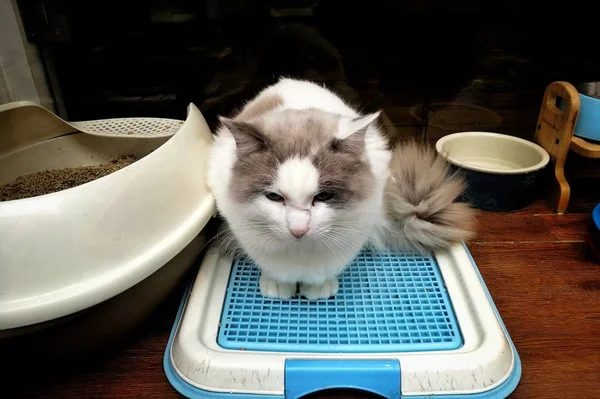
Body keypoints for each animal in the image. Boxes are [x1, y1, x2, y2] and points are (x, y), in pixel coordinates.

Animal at [205, 77, 474, 300]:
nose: (298, 230)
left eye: (324, 196)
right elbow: (272, 268)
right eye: (274, 197)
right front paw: (278, 287)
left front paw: (319, 290)